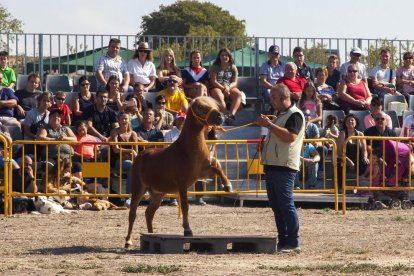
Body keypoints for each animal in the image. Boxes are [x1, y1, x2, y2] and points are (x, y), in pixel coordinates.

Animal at [124, 96, 231, 248]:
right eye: (200, 107)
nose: (220, 116)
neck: (187, 150)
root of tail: (139, 155)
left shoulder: (202, 173)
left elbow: (217, 168)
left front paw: (227, 186)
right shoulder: (182, 184)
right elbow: (185, 206)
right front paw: (187, 230)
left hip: (158, 194)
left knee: (149, 213)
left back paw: (151, 235)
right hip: (139, 188)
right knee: (132, 214)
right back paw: (128, 241)